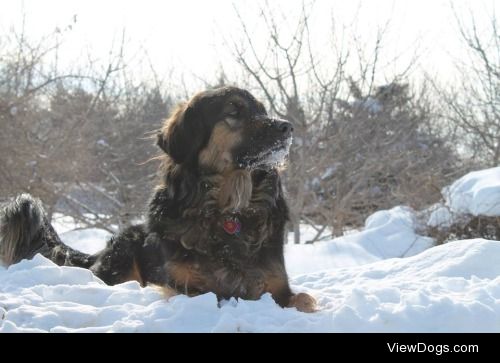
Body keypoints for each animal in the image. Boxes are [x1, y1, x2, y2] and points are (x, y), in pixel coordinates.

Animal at [0, 87, 316, 312]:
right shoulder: (185, 287)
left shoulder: (278, 288)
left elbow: (302, 299)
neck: (229, 211)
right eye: (234, 111)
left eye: (262, 110)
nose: (288, 128)